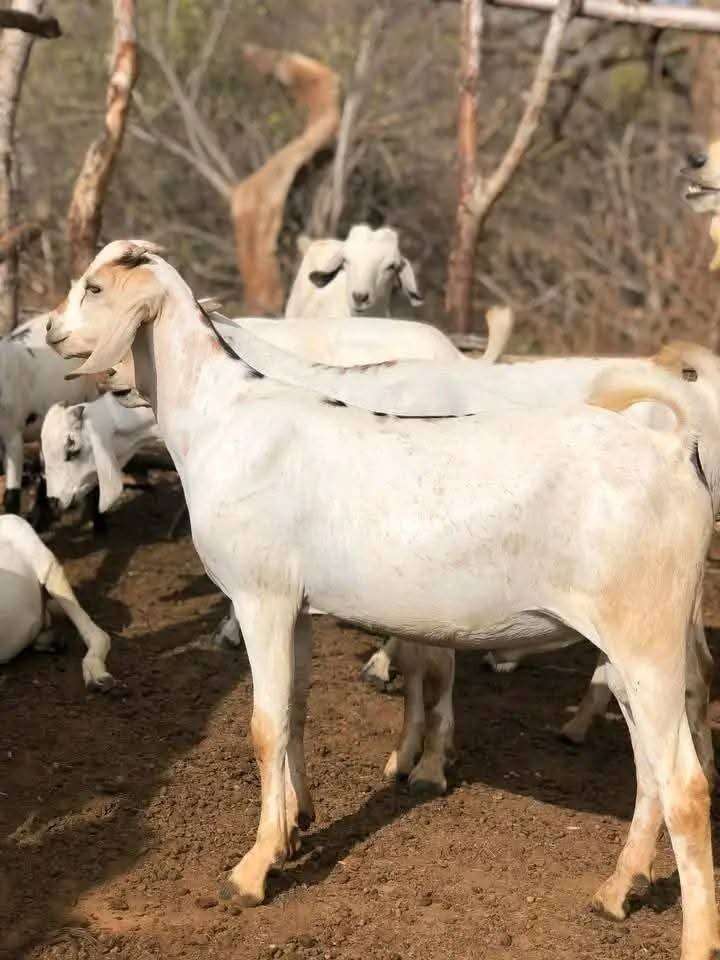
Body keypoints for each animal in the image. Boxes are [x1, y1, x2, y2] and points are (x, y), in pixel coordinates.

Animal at [45, 242, 720, 958]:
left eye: (94, 289)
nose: (53, 331)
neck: (222, 418)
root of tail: (674, 450)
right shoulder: (297, 607)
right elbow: (296, 711)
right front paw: (295, 826)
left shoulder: (261, 597)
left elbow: (264, 725)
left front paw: (253, 872)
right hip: (630, 650)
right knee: (650, 768)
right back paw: (617, 891)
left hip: (647, 639)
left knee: (684, 784)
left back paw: (693, 934)